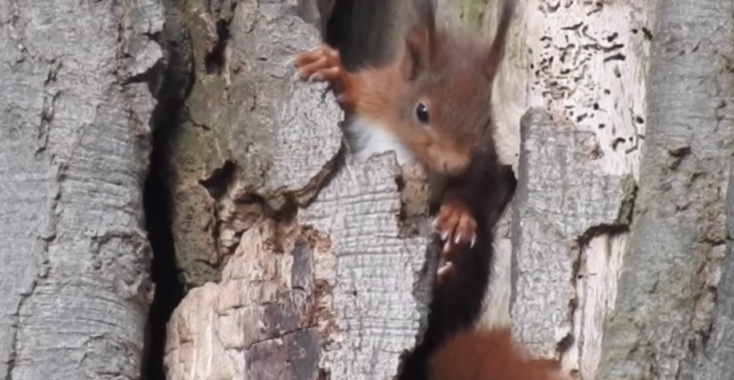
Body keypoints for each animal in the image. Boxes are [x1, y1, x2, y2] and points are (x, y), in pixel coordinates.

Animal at [290, 0, 568, 380]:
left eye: (487, 120)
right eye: (422, 111)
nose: (453, 163)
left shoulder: (484, 161)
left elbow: (476, 189)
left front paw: (458, 215)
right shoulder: (374, 100)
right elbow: (356, 92)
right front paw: (332, 70)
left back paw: (447, 267)